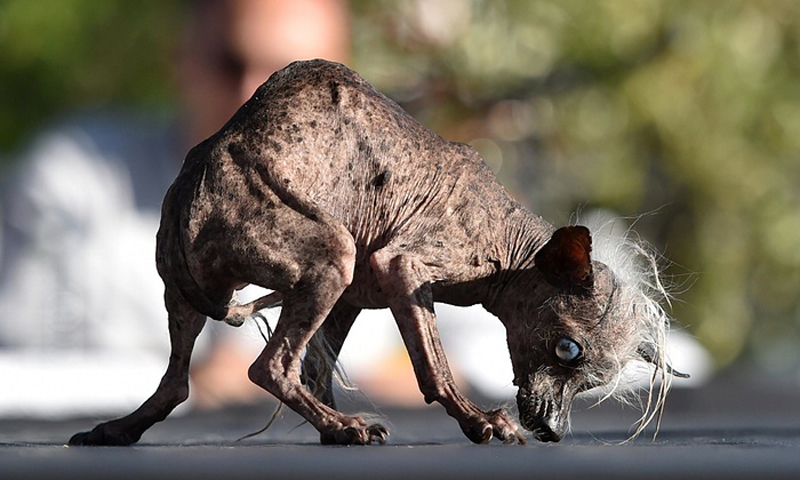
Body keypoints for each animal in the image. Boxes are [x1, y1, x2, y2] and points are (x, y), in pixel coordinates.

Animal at [69, 60, 684, 446]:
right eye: (567, 350)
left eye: (594, 380)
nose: (553, 430)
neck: (507, 241)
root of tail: (200, 170)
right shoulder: (404, 267)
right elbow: (433, 369)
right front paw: (478, 422)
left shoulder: (356, 295)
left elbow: (318, 369)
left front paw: (332, 424)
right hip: (332, 254)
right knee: (268, 366)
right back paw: (343, 426)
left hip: (202, 287)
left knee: (180, 380)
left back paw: (117, 430)